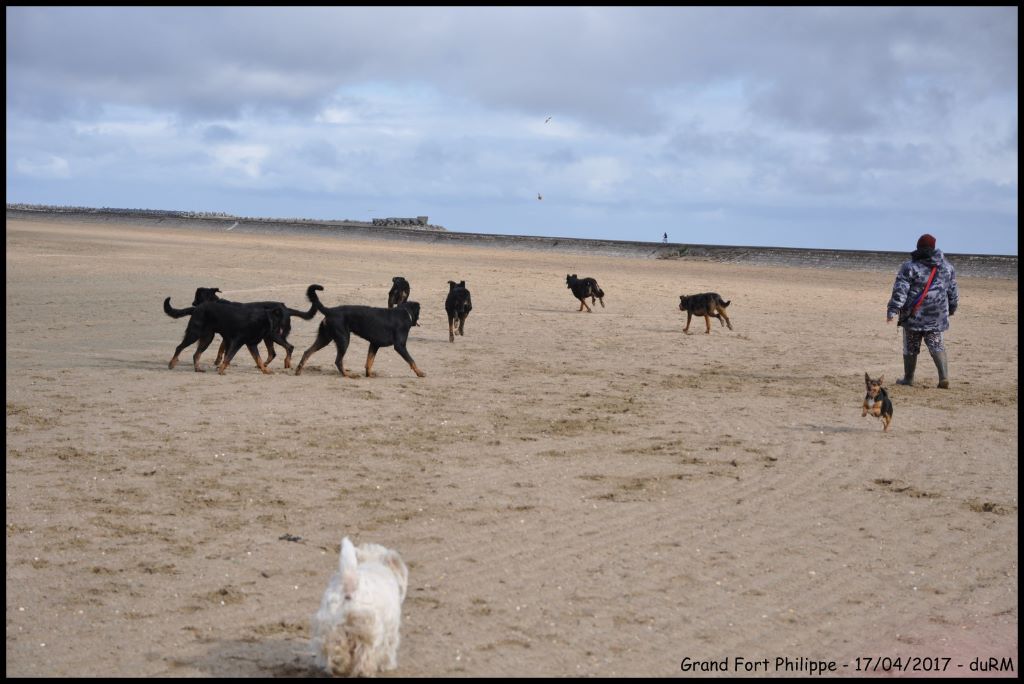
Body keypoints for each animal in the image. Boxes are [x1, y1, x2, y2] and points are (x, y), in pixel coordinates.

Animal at [294, 282, 425, 378]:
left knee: (307, 352)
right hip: (344, 339)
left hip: (325, 338)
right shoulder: (400, 346)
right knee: (338, 361)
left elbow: (369, 362)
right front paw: (420, 373)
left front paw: (369, 375)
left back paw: (298, 371)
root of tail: (330, 311)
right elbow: (411, 360)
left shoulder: (374, 344)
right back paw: (348, 375)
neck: (405, 313)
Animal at [309, 536, 409, 675]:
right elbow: (389, 648)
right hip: (367, 632)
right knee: (365, 658)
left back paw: (336, 666)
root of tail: (350, 581)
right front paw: (389, 665)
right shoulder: (391, 630)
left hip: (329, 626)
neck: (373, 562)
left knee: (333, 650)